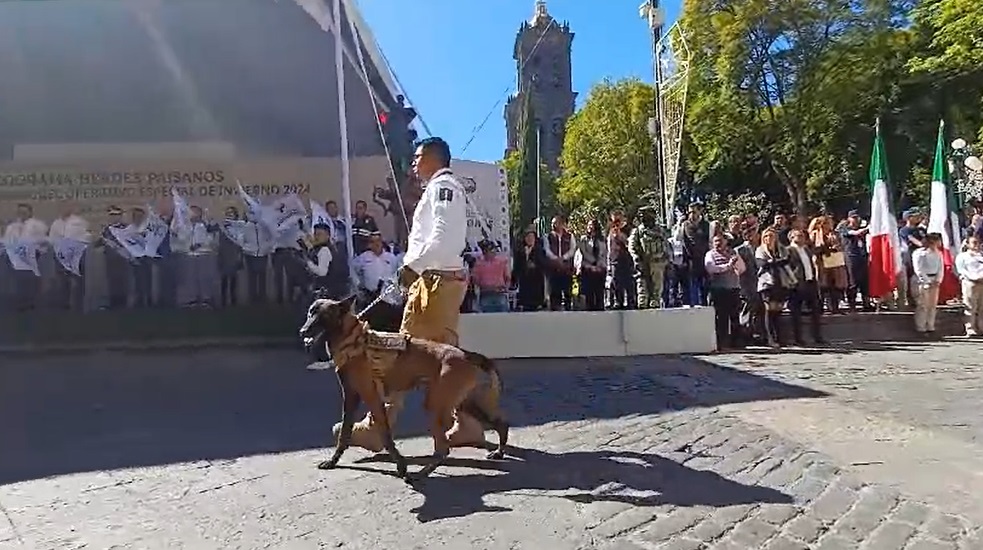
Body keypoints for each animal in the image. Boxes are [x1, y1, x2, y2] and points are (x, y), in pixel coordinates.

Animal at [300, 298, 512, 484]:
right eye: (310, 313)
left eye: (323, 316)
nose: (303, 331)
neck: (352, 339)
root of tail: (466, 354)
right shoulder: (351, 398)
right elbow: (344, 433)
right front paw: (333, 460)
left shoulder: (370, 396)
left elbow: (385, 436)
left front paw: (401, 465)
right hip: (462, 403)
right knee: (501, 424)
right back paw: (499, 452)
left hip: (435, 405)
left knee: (443, 448)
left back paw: (422, 473)